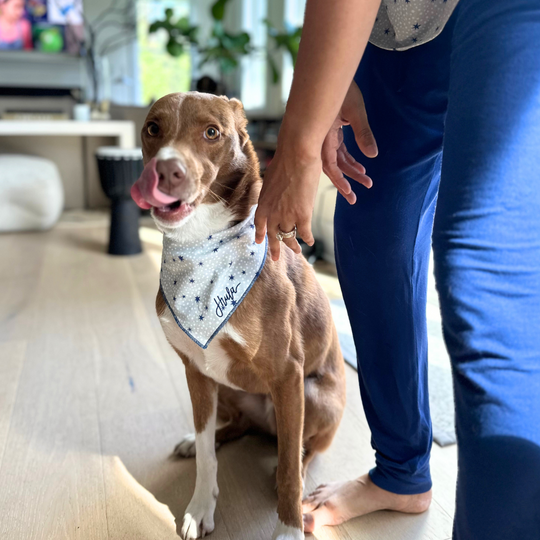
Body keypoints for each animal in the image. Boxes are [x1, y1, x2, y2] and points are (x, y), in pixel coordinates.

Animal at [133, 93, 348, 540]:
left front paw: (288, 528)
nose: (165, 170)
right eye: (153, 128)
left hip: (313, 396)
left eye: (212, 132)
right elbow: (205, 456)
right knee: (235, 427)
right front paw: (200, 506)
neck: (200, 245)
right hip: (226, 386)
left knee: (301, 450)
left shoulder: (288, 375)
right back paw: (206, 437)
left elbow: (288, 468)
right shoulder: (196, 372)